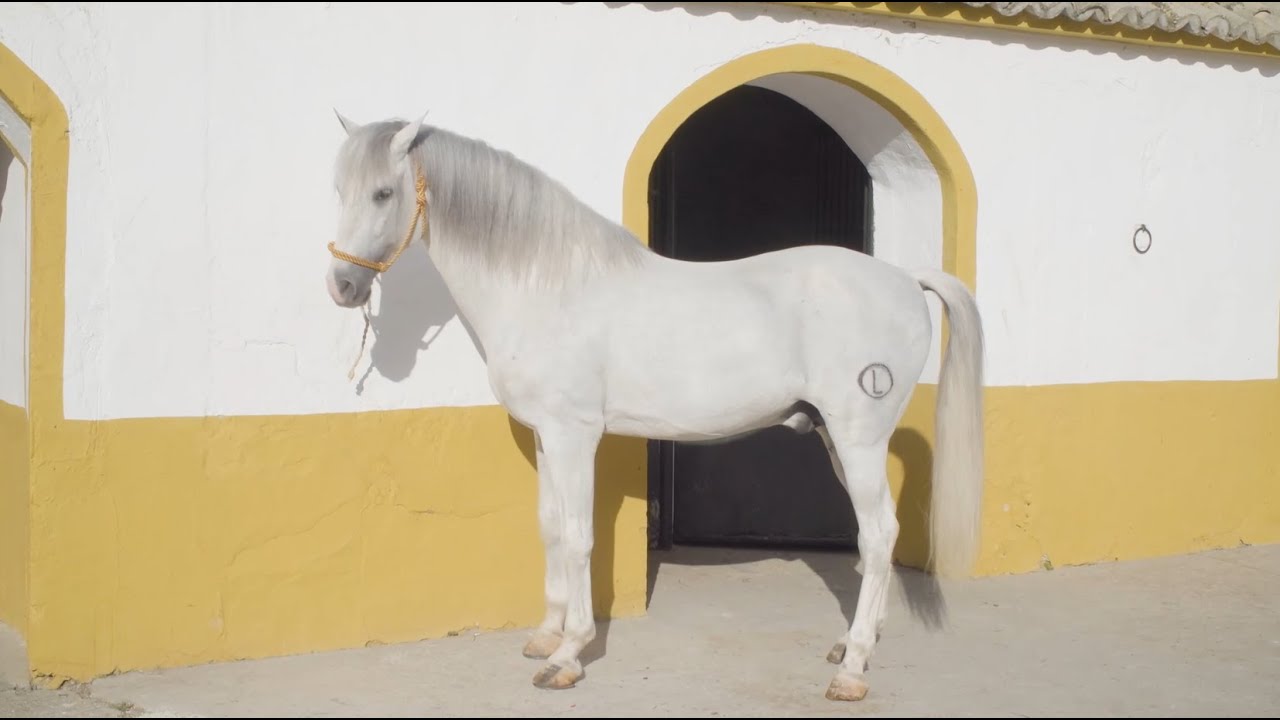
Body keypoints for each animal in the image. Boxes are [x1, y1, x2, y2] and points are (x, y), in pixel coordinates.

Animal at [323, 111, 985, 702]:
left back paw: (851, 672)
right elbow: (549, 529)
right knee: (878, 541)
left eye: (384, 192)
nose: (342, 287)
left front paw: (568, 655)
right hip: (834, 437)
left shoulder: (574, 435)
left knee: (879, 534)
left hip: (858, 437)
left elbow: (578, 536)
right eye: (339, 190)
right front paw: (544, 637)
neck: (547, 286)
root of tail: (905, 278)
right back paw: (851, 646)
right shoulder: (545, 436)